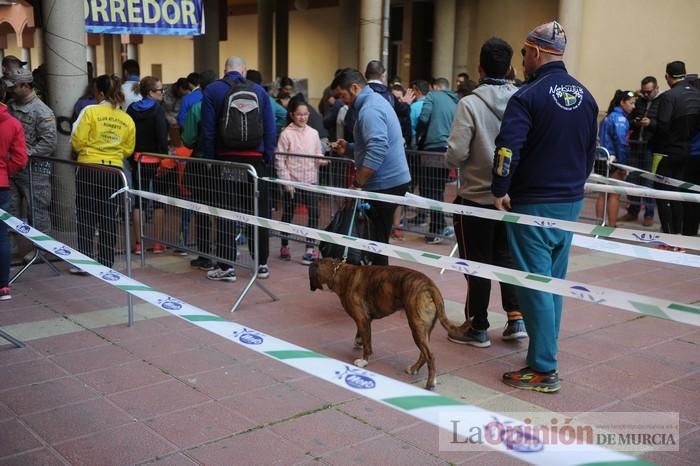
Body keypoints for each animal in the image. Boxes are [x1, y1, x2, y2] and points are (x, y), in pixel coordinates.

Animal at [308, 258, 456, 390]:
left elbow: (368, 344)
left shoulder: (362, 319)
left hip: (416, 326)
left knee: (430, 355)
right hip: (424, 330)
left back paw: (430, 383)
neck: (339, 273)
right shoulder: (365, 320)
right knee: (424, 354)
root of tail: (430, 286)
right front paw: (358, 342)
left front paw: (363, 361)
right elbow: (362, 335)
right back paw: (414, 369)